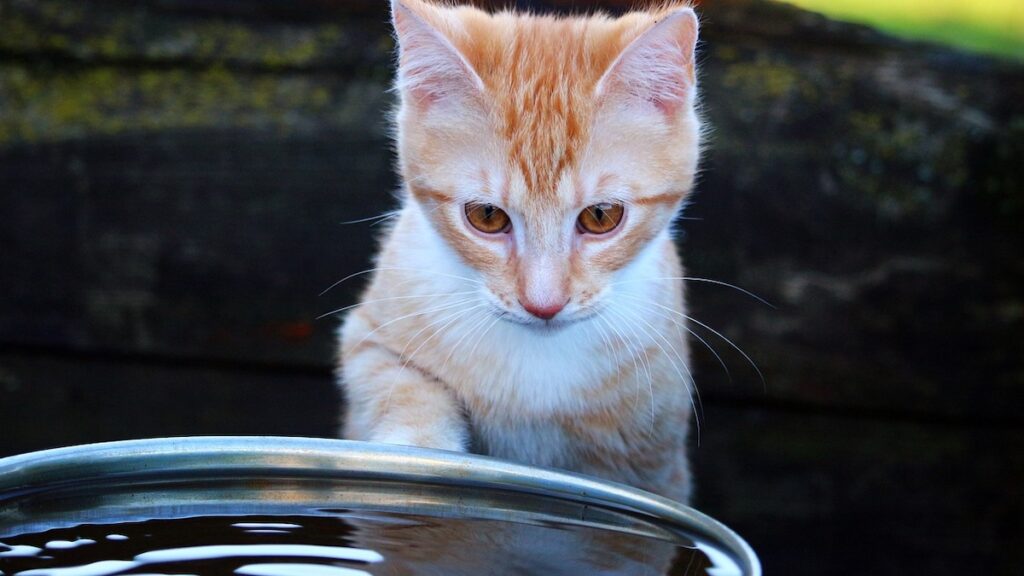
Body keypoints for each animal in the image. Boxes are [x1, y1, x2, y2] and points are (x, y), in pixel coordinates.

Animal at [339, 0, 700, 502]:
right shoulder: (370, 336)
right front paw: (420, 453)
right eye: (487, 216)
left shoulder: (657, 458)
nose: (543, 304)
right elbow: (402, 387)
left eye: (601, 216)